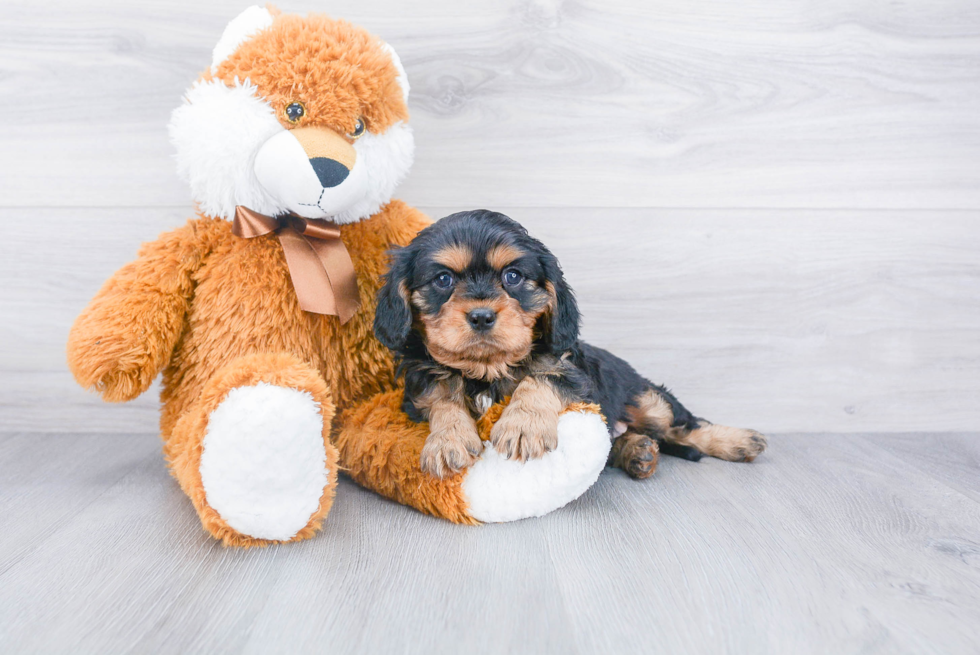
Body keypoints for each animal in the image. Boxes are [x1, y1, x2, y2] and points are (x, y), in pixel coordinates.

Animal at [376, 213, 764, 480]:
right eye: (443, 280)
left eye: (513, 277)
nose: (482, 316)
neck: (486, 368)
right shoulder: (420, 383)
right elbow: (443, 397)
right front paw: (448, 441)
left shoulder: (574, 372)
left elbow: (540, 378)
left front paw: (523, 426)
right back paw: (637, 451)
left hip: (649, 400)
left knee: (685, 425)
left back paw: (737, 440)